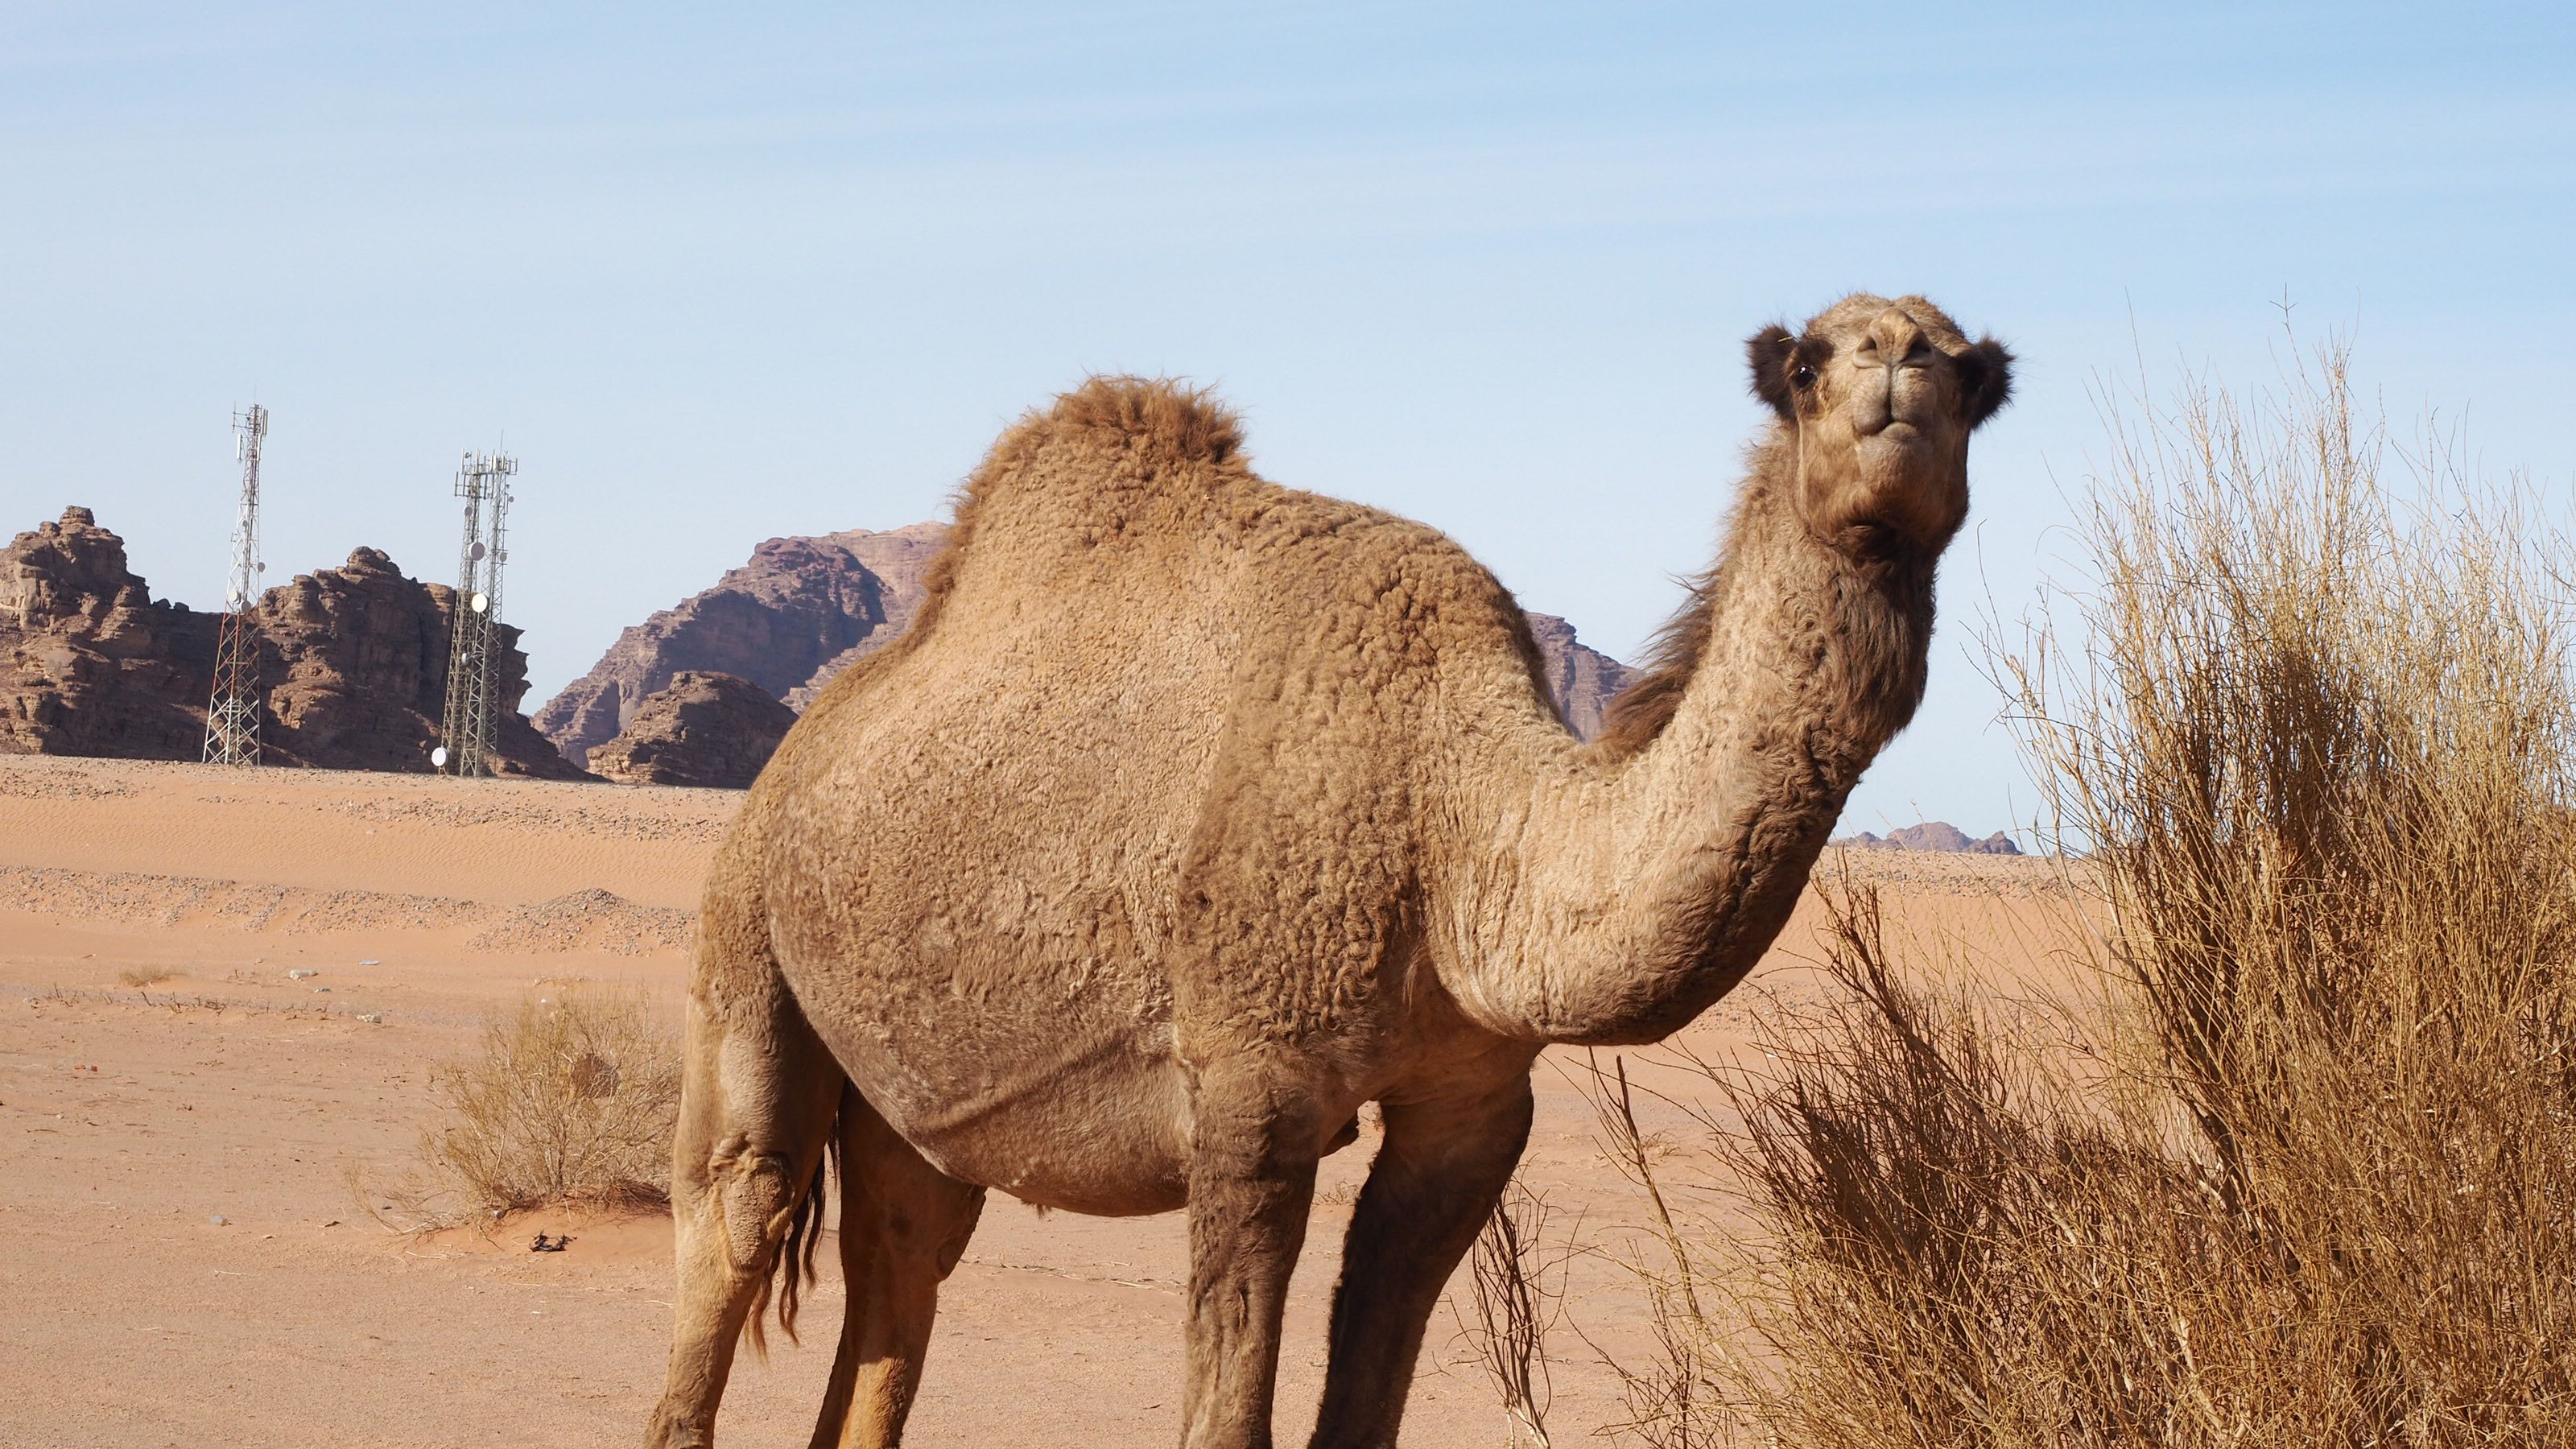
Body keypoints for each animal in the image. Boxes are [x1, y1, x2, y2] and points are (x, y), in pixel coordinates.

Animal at [644, 287, 2009, 1433]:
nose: (1895, 363)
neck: (1459, 836)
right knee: (739, 1206)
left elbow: (1363, 1404)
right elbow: (1229, 1411)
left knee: (902, 1257)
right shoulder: (1251, 1084)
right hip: (748, 933)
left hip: (914, 1100)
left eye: (1973, 371)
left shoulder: (1473, 1109)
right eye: (1804, 365)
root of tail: (807, 744)